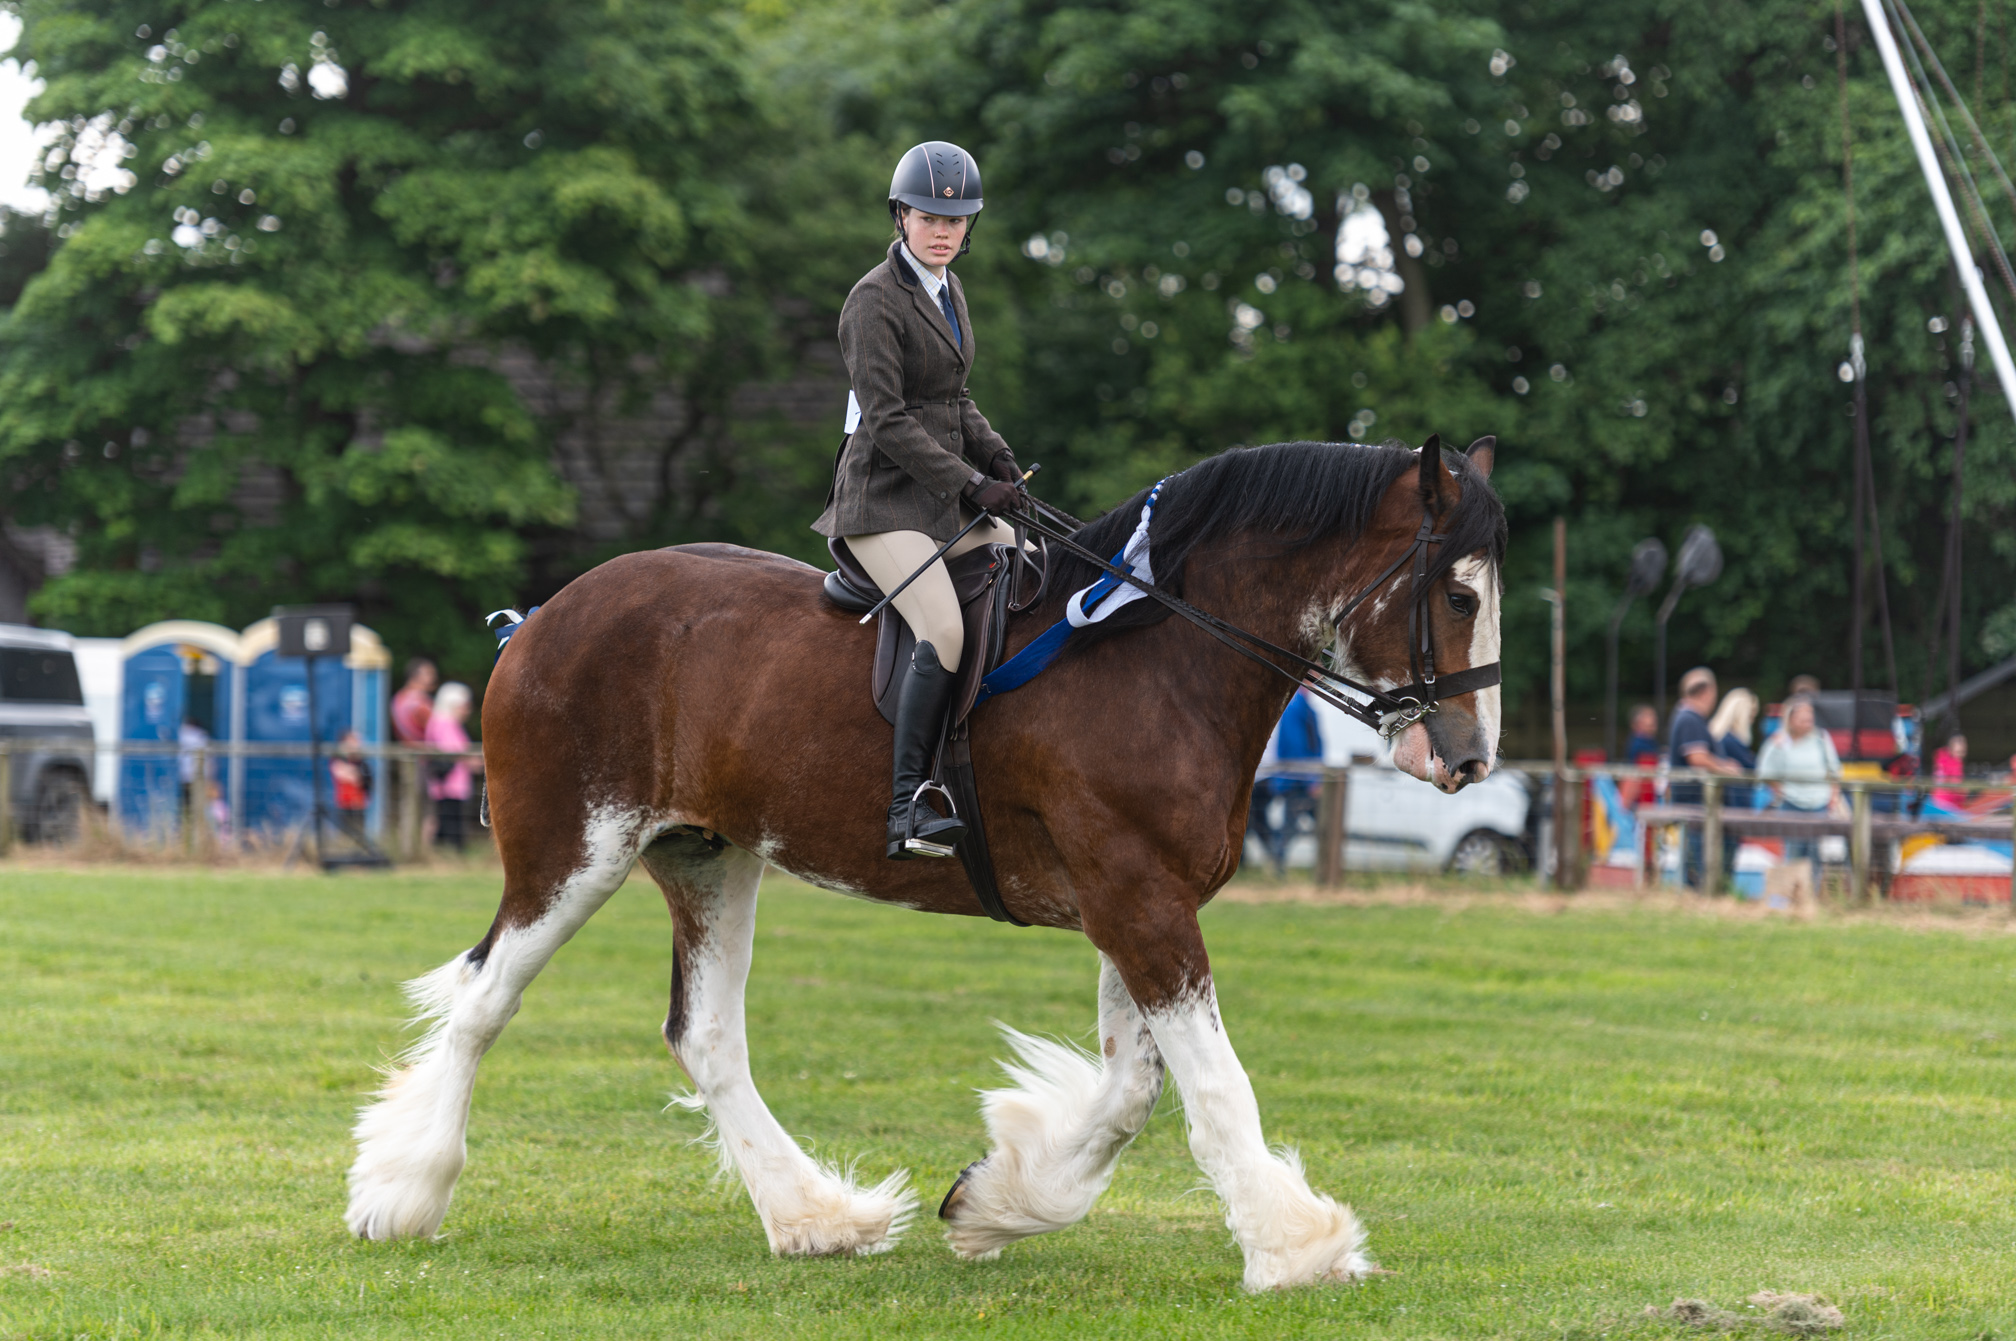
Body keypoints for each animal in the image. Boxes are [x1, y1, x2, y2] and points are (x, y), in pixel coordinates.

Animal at [344, 435, 1506, 1292]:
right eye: (1458, 596)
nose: (1469, 758)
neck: (1158, 655)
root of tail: (542, 618)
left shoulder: (1141, 901)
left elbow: (1133, 1090)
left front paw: (997, 1199)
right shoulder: (1138, 899)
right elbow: (1214, 1085)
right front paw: (1294, 1244)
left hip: (708, 857)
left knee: (705, 1037)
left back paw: (817, 1218)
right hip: (572, 851)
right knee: (484, 1000)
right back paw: (402, 1195)